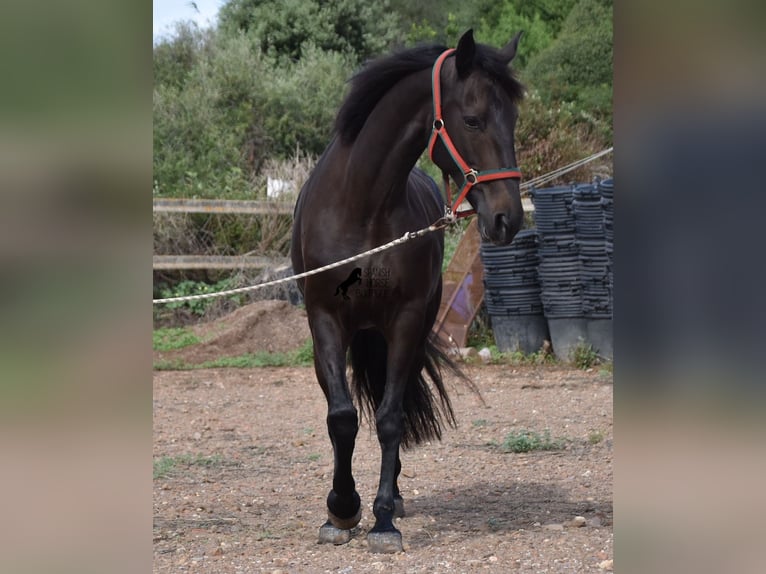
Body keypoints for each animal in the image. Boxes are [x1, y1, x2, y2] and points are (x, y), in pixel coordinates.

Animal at [292, 29, 524, 556]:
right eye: (473, 119)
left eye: (514, 120)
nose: (509, 219)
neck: (361, 207)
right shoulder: (325, 319)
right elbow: (341, 416)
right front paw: (340, 510)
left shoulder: (405, 320)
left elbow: (391, 418)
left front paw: (381, 519)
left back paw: (393, 498)